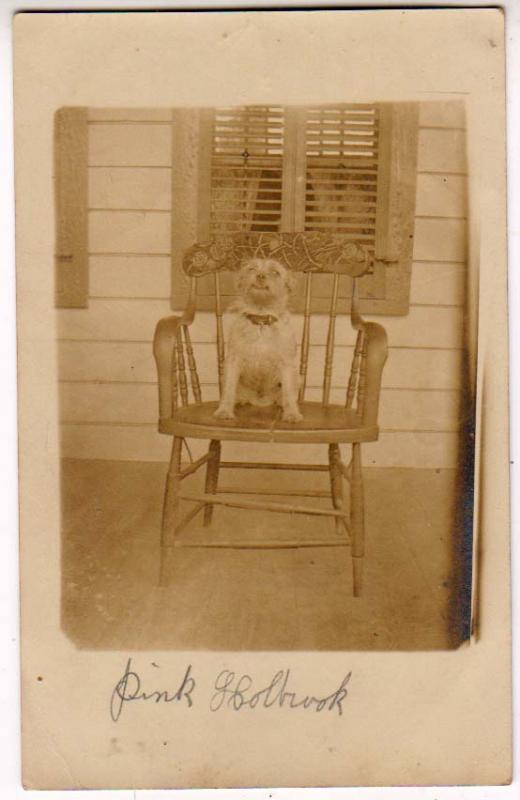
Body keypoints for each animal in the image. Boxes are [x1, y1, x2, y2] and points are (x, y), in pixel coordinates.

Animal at [213, 258, 302, 424]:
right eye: (252, 269)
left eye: (275, 272)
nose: (260, 276)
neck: (261, 319)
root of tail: (260, 401)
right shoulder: (233, 360)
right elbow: (228, 389)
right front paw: (224, 411)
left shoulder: (286, 363)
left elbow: (288, 391)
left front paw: (292, 413)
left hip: (297, 376)